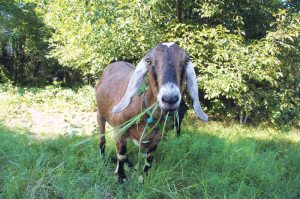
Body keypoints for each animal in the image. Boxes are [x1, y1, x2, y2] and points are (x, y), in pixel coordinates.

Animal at [95, 42, 207, 182]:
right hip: (100, 114)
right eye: (148, 60)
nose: (170, 98)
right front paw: (121, 178)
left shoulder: (157, 138)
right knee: (102, 140)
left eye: (186, 60)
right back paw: (104, 160)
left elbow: (149, 159)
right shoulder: (119, 129)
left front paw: (143, 179)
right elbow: (121, 154)